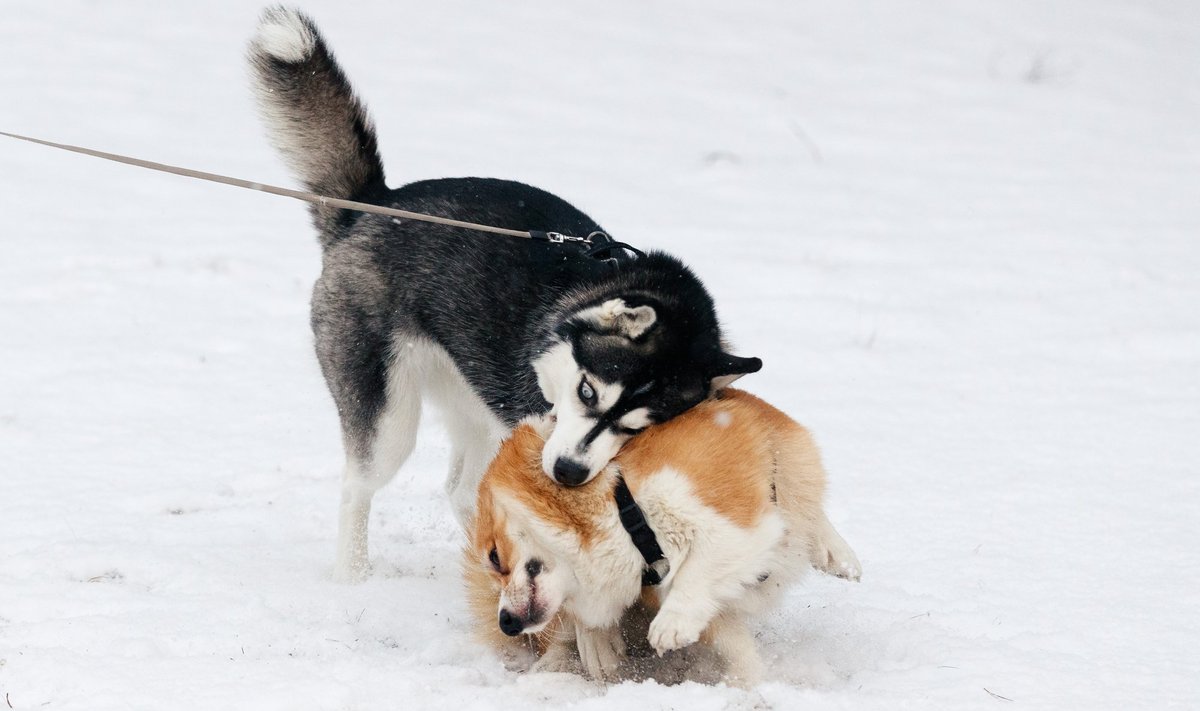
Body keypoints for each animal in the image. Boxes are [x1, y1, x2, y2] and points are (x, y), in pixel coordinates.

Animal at [460, 389, 864, 682]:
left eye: (495, 557)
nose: (506, 623)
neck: (625, 510)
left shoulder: (736, 518)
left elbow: (699, 571)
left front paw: (672, 625)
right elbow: (736, 649)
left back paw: (836, 553)